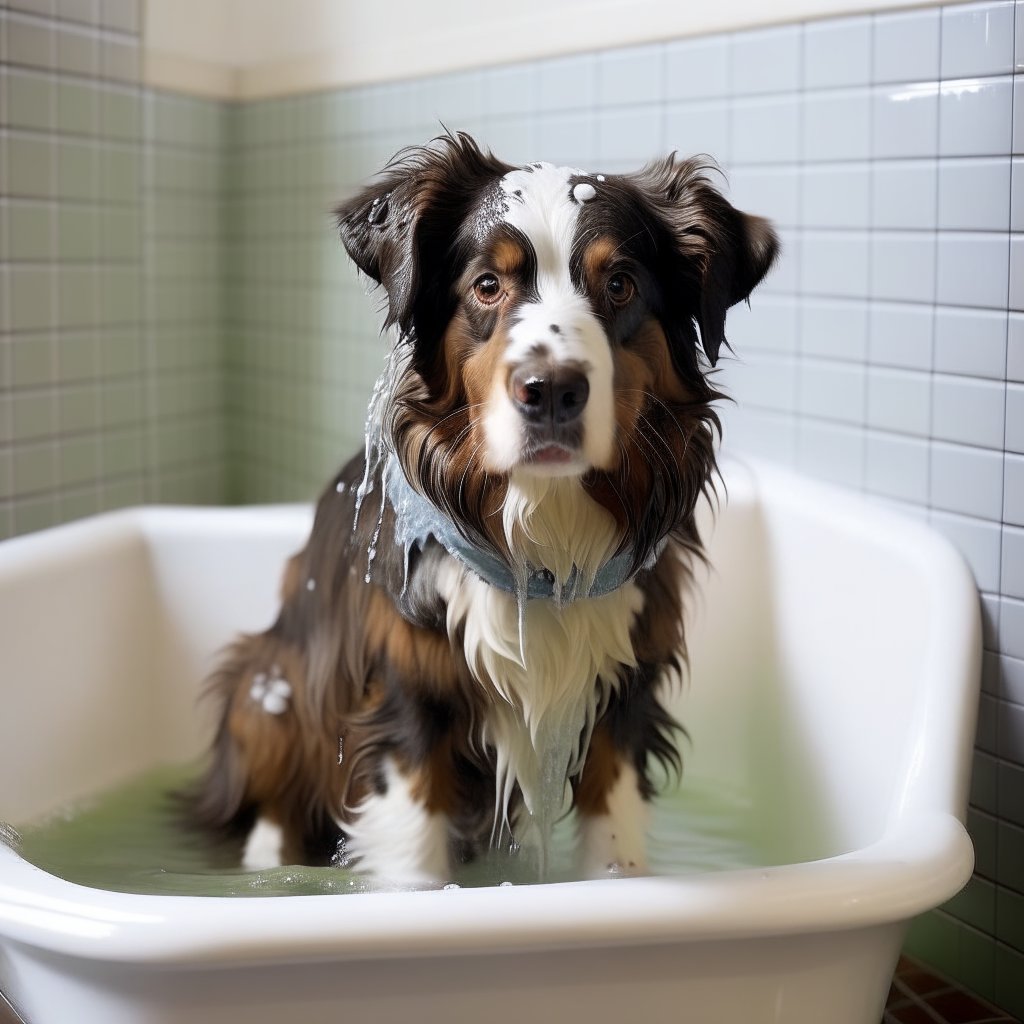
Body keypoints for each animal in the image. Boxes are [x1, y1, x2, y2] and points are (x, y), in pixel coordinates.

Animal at [193, 132, 774, 884]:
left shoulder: (623, 694)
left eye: (619, 284)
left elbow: (614, 845)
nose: (551, 390)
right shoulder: (409, 697)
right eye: (488, 285)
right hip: (268, 683)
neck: (543, 541)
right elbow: (413, 858)